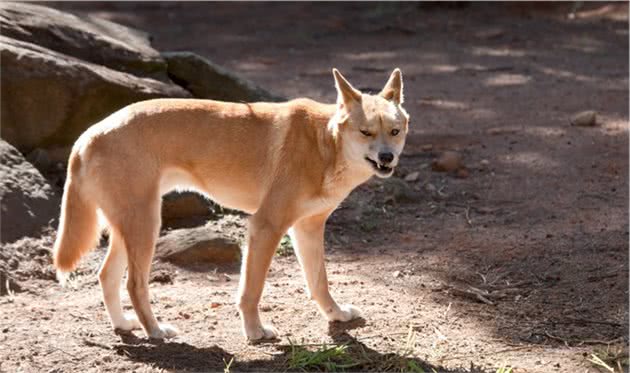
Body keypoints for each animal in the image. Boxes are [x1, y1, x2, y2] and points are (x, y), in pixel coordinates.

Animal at [53, 67, 410, 340]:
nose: (386, 158)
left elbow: (319, 282)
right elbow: (251, 290)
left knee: (106, 276)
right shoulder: (266, 226)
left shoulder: (307, 229)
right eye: (366, 132)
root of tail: (88, 135)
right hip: (146, 226)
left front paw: (335, 315)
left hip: (129, 229)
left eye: (395, 131)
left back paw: (125, 325)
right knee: (134, 284)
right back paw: (155, 331)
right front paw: (255, 332)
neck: (325, 144)